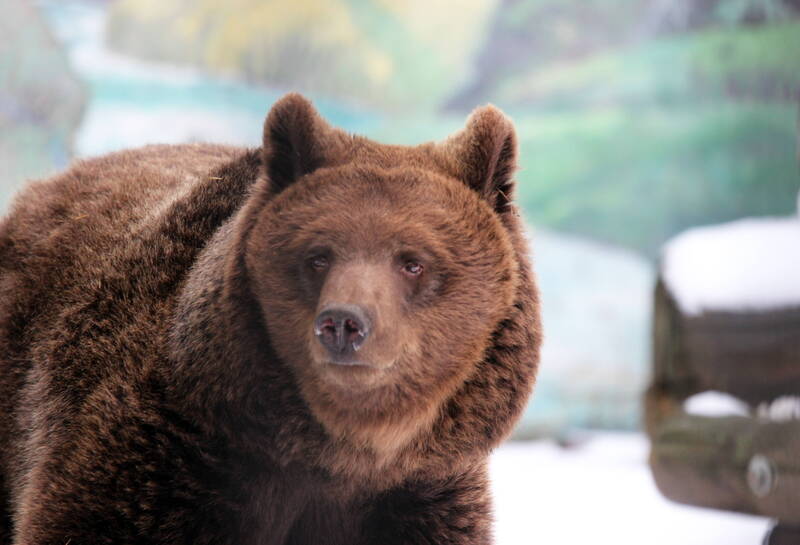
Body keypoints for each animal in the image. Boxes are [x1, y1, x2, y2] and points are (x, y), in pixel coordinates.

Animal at [0, 91, 540, 540]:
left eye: (413, 263)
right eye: (317, 256)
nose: (343, 323)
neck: (336, 458)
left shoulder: (420, 497)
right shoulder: (161, 459)